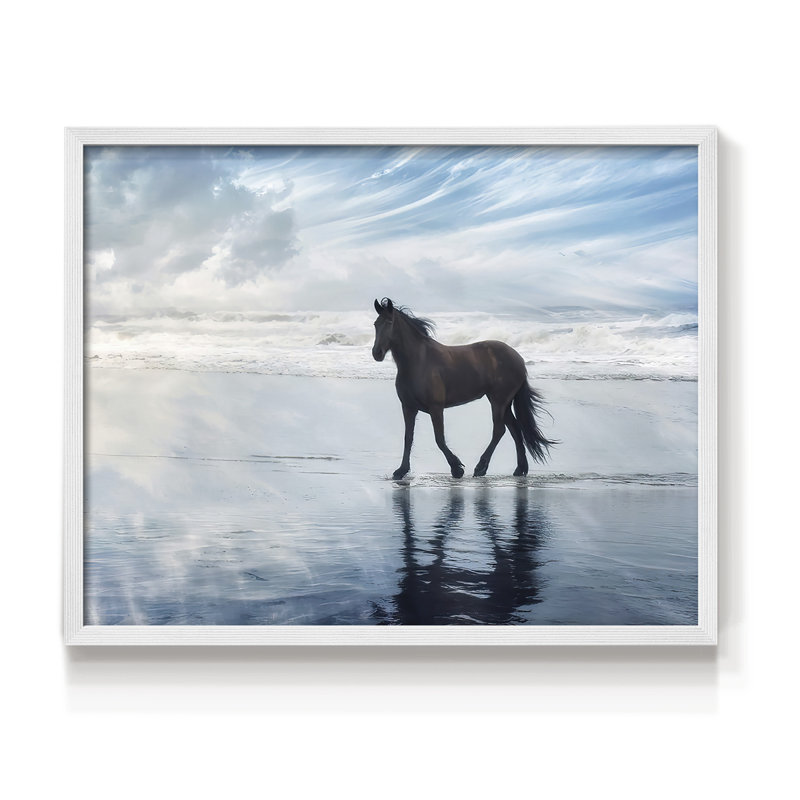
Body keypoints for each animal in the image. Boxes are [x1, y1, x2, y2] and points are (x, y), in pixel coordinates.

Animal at [372, 298, 556, 479]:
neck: (418, 362)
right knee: (515, 429)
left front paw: (457, 468)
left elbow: (439, 439)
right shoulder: (408, 408)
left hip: (499, 401)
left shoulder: (436, 408)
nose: (377, 353)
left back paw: (481, 468)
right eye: (375, 324)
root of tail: (518, 359)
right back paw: (520, 469)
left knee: (499, 430)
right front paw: (401, 470)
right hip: (504, 403)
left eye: (389, 322)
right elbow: (408, 438)